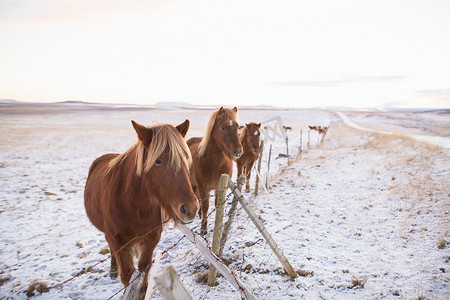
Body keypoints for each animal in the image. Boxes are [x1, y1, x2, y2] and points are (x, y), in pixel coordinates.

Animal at [83, 119, 199, 298]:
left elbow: (144, 274)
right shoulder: (118, 241)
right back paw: (113, 269)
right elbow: (127, 276)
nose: (191, 208)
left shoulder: (151, 239)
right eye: (157, 161)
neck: (133, 206)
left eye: (185, 157)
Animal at [186, 106, 243, 236]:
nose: (237, 151)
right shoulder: (203, 188)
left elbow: (218, 205)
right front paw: (203, 228)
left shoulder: (220, 187)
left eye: (237, 127)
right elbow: (205, 206)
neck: (214, 164)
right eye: (223, 127)